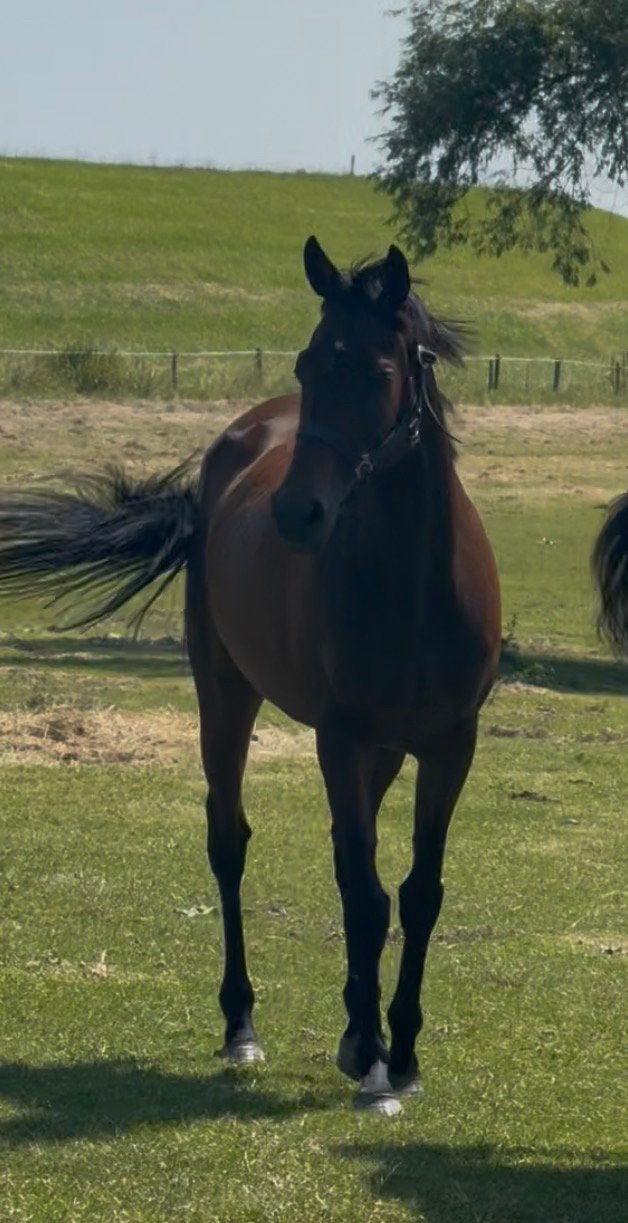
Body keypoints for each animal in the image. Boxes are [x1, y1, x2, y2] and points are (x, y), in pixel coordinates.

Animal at [0, 238, 501, 1114]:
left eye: (377, 369)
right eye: (306, 363)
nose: (297, 513)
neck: (417, 581)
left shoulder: (450, 743)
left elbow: (417, 891)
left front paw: (400, 1049)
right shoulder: (340, 737)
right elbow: (364, 892)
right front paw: (376, 1063)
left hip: (383, 748)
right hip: (227, 695)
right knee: (229, 840)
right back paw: (242, 1026)